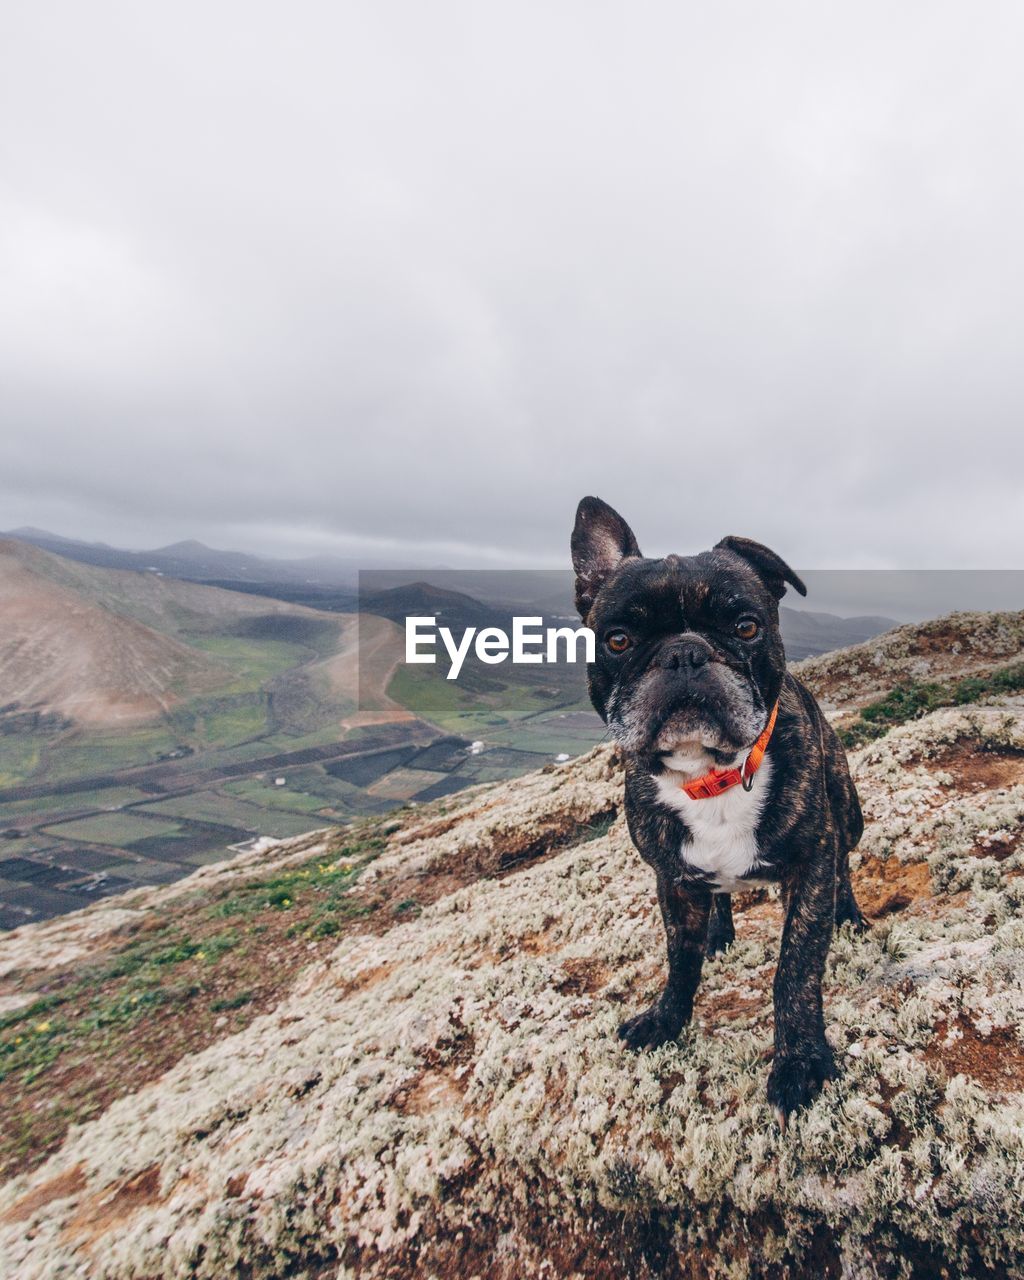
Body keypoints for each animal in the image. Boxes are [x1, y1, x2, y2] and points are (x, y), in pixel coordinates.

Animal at [570, 494, 870, 1126]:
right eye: (618, 639)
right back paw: (719, 930)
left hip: (847, 813)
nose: (685, 653)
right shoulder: (672, 877)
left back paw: (849, 916)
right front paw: (665, 1019)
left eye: (746, 627)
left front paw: (801, 1061)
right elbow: (679, 959)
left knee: (846, 862)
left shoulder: (811, 862)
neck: (712, 777)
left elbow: (796, 968)